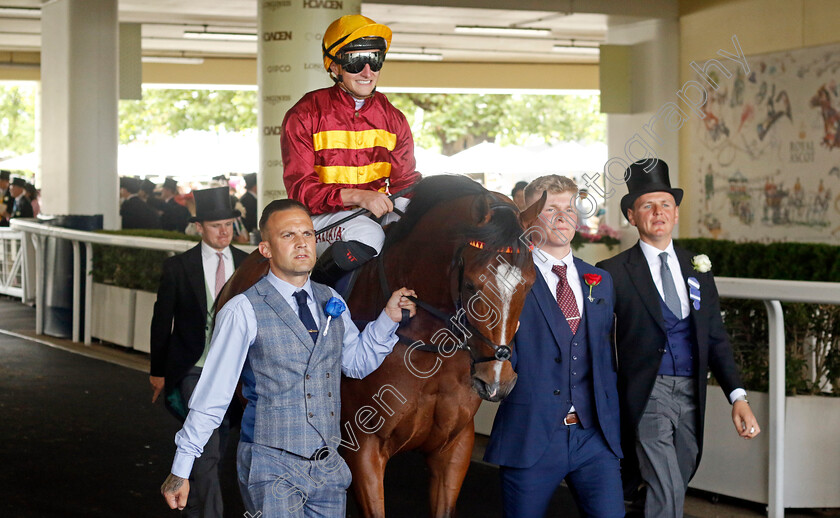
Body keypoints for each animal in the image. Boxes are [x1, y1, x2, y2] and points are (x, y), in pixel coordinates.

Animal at [217, 176, 544, 518]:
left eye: (530, 283)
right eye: (471, 284)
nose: (497, 380)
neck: (427, 344)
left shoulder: (456, 445)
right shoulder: (363, 445)